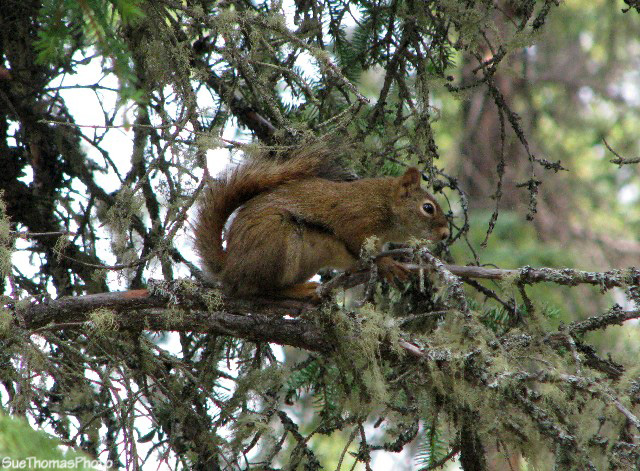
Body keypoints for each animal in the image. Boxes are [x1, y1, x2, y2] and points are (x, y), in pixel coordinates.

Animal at [194, 146, 450, 301]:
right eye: (428, 208)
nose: (446, 233)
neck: (384, 203)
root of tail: (230, 268)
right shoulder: (356, 218)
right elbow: (358, 244)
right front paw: (387, 264)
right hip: (277, 242)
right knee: (263, 290)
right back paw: (298, 291)